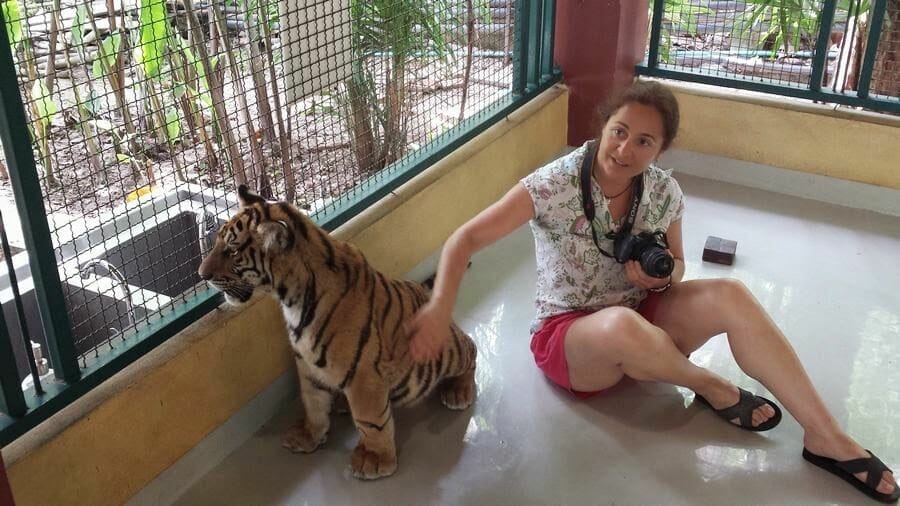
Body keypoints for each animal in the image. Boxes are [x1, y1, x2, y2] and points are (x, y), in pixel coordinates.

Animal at [197, 185, 477, 480]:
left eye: (232, 250)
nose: (202, 274)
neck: (291, 298)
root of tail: (423, 292)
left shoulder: (364, 375)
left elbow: (370, 420)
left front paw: (374, 460)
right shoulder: (306, 363)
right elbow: (313, 403)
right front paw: (308, 436)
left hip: (438, 357)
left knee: (470, 349)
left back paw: (458, 391)